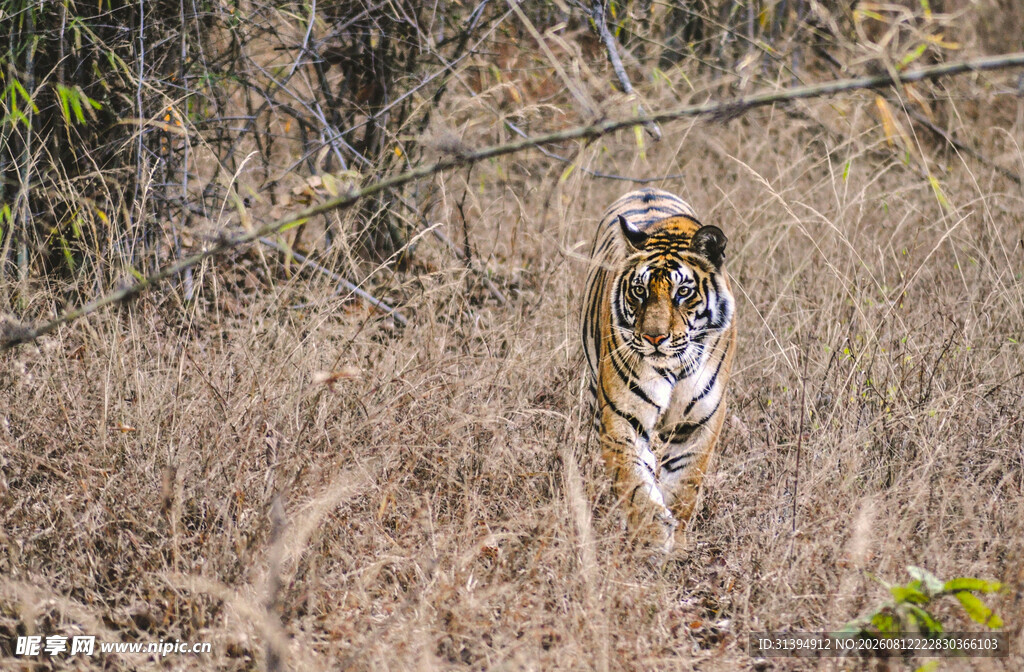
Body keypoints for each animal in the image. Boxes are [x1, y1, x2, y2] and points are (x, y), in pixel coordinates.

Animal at [581, 187, 736, 552]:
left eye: (683, 292)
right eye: (640, 290)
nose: (654, 338)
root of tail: (645, 190)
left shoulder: (699, 423)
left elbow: (684, 484)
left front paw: (675, 541)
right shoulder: (622, 417)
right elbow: (635, 483)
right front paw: (652, 535)